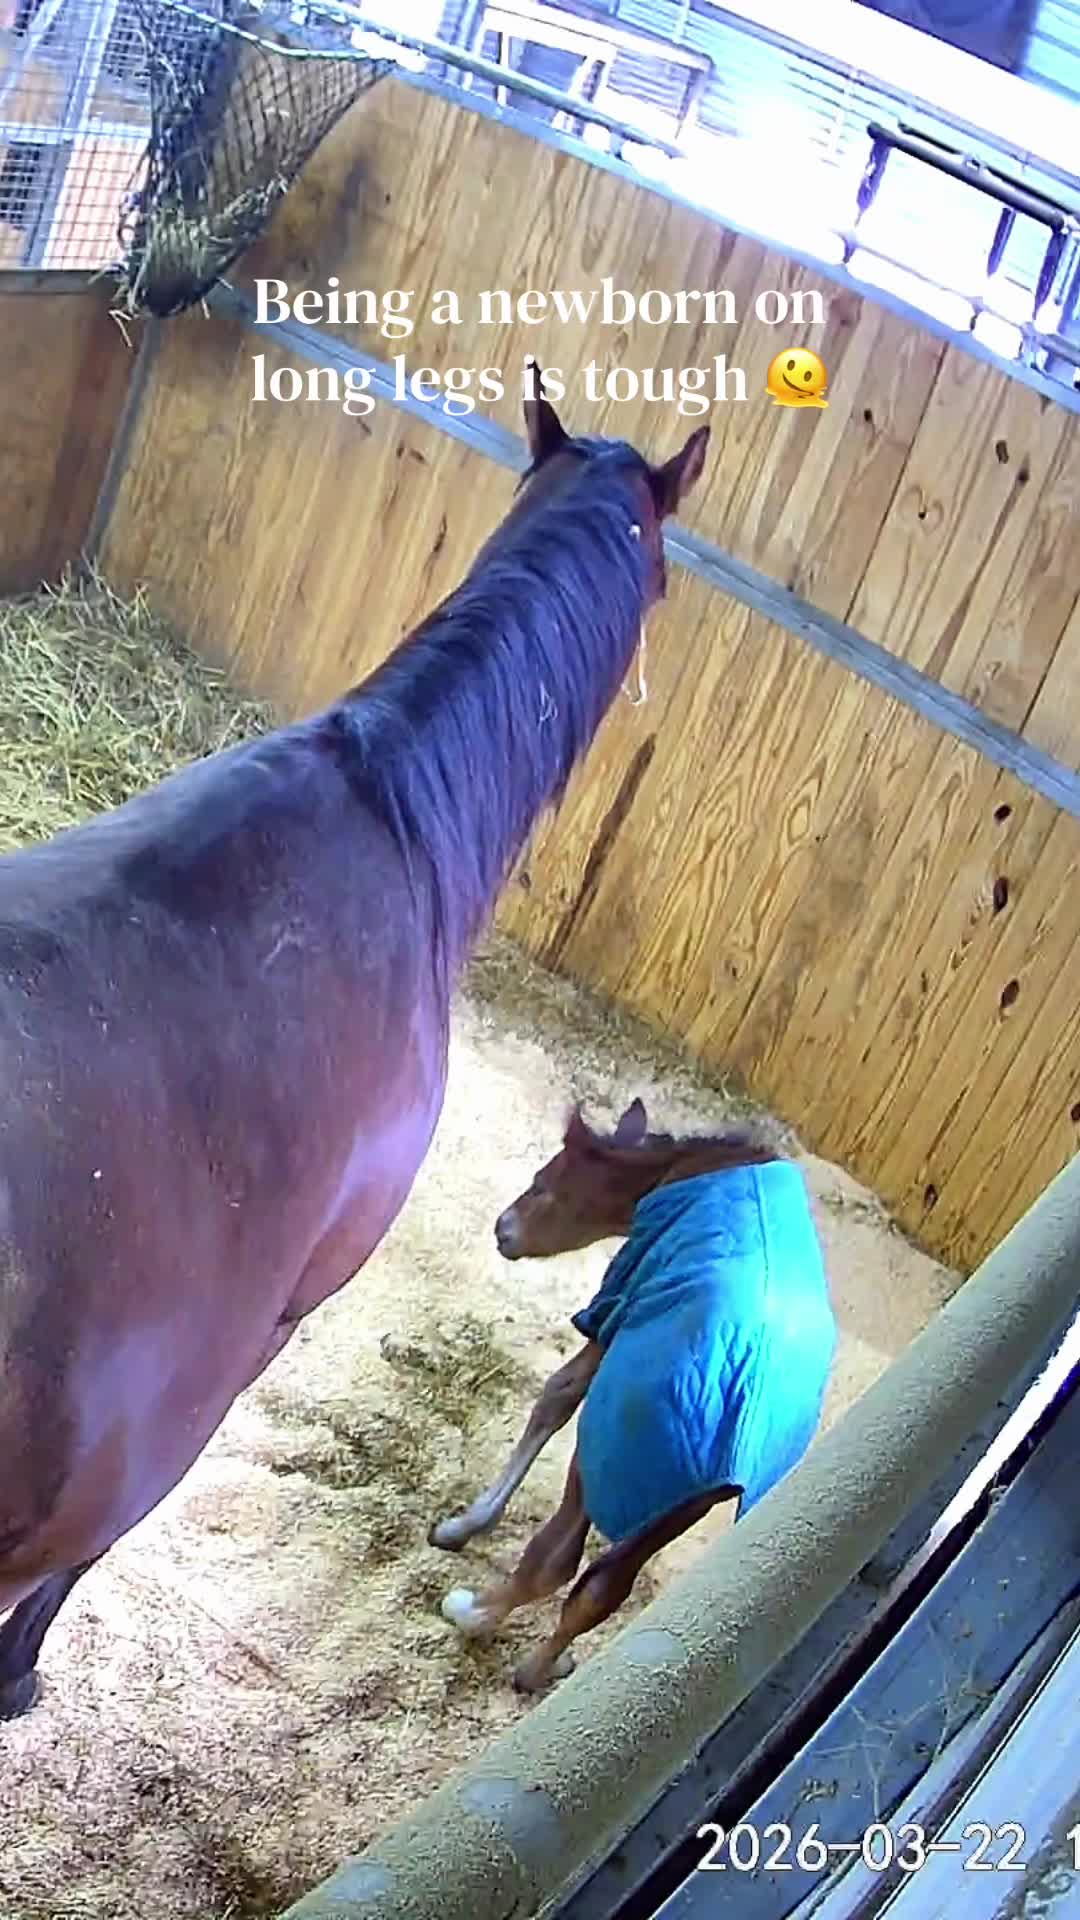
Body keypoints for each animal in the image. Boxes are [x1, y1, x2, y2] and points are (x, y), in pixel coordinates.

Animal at [431, 1097, 836, 1693]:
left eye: (542, 1183)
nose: (503, 1229)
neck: (686, 1169)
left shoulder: (617, 1305)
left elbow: (556, 1396)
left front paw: (465, 1525)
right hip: (681, 1503)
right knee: (603, 1588)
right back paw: (541, 1668)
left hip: (603, 1452)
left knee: (557, 1558)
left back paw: (473, 1614)